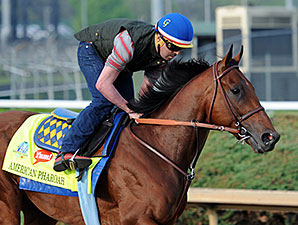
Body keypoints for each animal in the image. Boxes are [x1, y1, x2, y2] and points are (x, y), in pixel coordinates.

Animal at [0, 46, 280, 225]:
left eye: (252, 87)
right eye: (236, 90)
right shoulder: (139, 218)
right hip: (8, 206)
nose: (270, 136)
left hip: (40, 211)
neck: (156, 146)